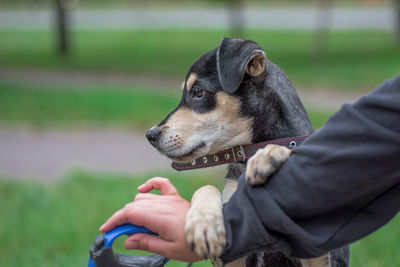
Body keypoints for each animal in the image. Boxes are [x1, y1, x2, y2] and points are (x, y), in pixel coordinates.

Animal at [145, 37, 346, 267]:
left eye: (198, 92)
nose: (150, 135)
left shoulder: (321, 251)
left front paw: (270, 156)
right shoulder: (232, 254)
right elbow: (206, 188)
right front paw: (203, 222)